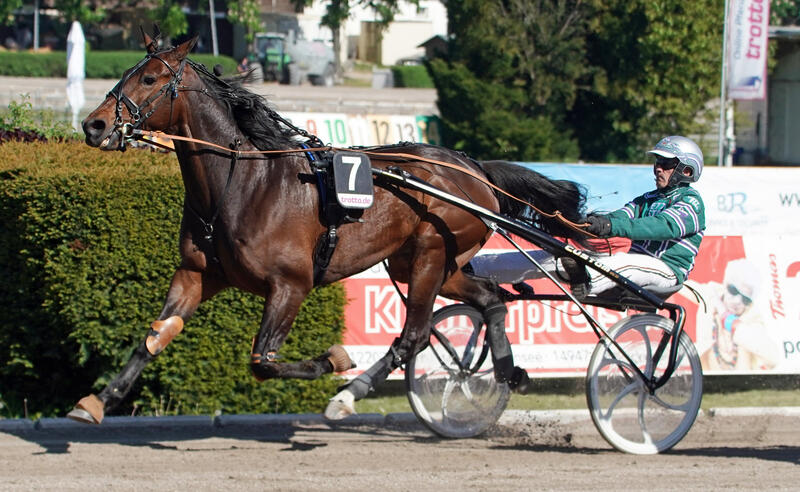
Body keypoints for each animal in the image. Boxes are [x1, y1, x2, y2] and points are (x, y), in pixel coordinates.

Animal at [69, 29, 588, 422]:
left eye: (150, 77)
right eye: (123, 74)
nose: (94, 126)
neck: (242, 183)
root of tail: (471, 167)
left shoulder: (290, 284)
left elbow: (263, 362)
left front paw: (333, 360)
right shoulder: (198, 273)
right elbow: (154, 336)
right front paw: (97, 400)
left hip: (430, 255)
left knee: (414, 335)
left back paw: (347, 395)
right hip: (429, 262)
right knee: (490, 299)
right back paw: (507, 370)